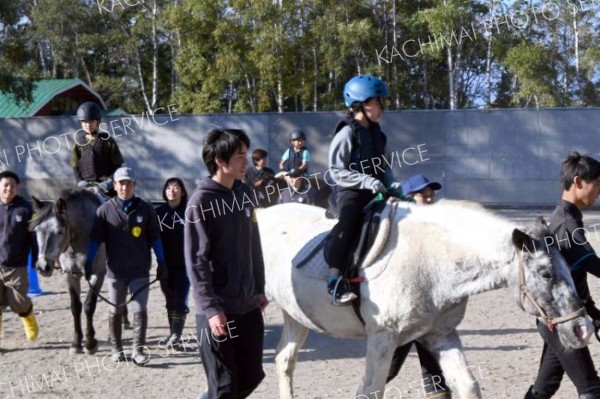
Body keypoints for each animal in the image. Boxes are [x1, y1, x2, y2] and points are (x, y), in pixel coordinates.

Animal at [30, 191, 106, 356]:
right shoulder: (70, 275)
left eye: (59, 232)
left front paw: (90, 343)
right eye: (37, 231)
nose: (43, 266)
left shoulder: (97, 274)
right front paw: (76, 343)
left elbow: (89, 305)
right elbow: (75, 307)